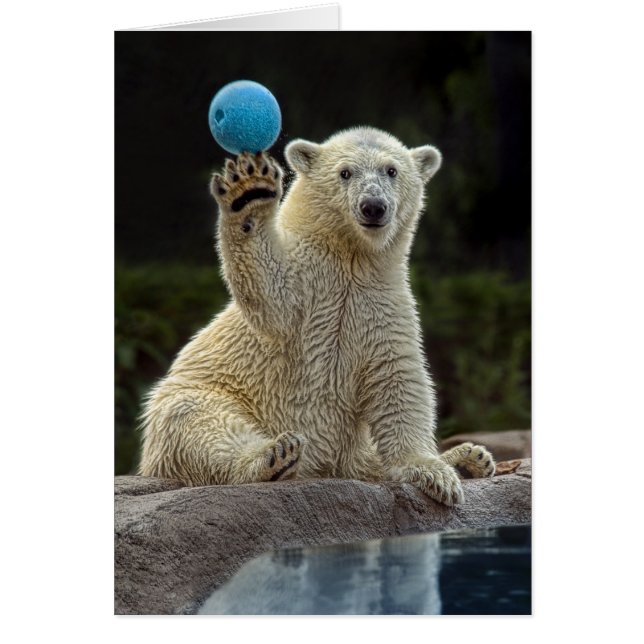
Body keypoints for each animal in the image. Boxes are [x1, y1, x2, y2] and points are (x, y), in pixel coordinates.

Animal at [138, 126, 495, 506]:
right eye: (345, 173)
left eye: (391, 171)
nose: (373, 206)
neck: (351, 258)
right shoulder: (309, 283)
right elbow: (271, 294)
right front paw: (248, 192)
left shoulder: (383, 305)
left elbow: (396, 379)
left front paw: (434, 472)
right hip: (207, 395)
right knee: (196, 422)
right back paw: (273, 456)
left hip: (348, 448)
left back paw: (470, 458)